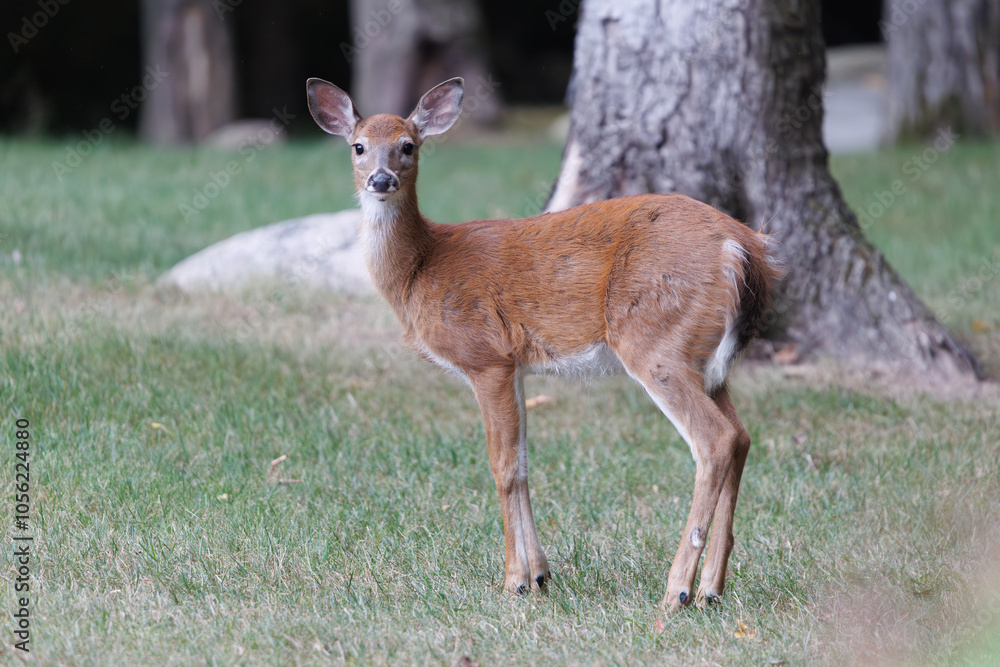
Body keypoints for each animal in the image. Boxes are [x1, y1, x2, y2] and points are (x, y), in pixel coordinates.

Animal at [306, 76, 782, 610]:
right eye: (358, 146)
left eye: (408, 145)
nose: (381, 179)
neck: (422, 268)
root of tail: (744, 246)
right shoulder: (514, 364)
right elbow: (525, 463)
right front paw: (540, 575)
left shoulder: (485, 355)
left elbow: (503, 466)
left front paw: (513, 580)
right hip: (705, 359)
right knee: (741, 436)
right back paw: (710, 590)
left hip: (655, 340)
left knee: (715, 440)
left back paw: (676, 589)